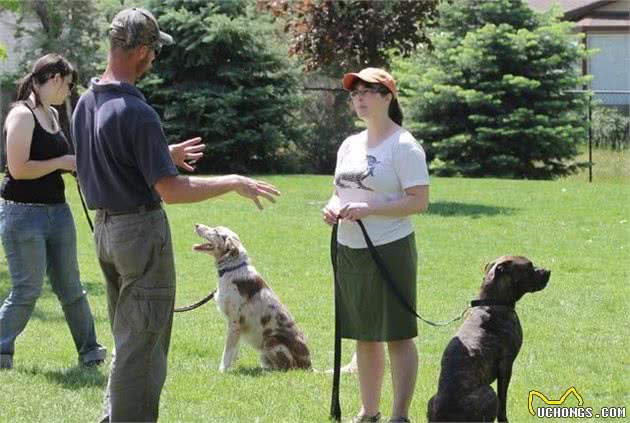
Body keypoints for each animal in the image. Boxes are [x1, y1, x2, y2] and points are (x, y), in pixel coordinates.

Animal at [193, 224, 312, 372]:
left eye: (216, 231)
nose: (196, 225)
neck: (232, 268)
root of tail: (309, 366)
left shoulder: (234, 323)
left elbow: (227, 353)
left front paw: (222, 371)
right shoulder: (237, 327)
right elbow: (233, 352)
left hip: (270, 341)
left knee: (286, 368)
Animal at [428, 256, 552, 422]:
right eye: (529, 266)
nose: (548, 271)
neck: (492, 302)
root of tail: (446, 415)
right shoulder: (506, 366)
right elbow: (503, 401)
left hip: (432, 399)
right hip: (489, 392)